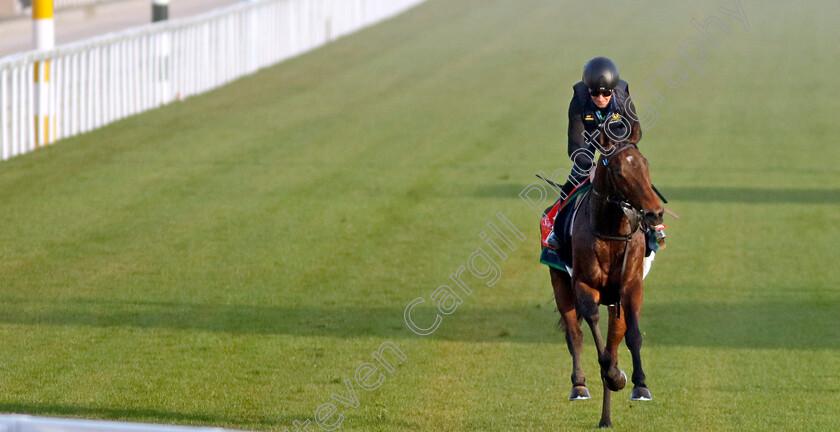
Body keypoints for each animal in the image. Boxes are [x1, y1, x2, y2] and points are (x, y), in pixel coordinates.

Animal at [552, 121, 664, 428]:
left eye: (645, 164)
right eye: (619, 171)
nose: (655, 213)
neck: (611, 231)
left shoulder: (630, 285)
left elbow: (632, 334)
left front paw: (639, 385)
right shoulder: (583, 283)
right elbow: (591, 325)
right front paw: (612, 375)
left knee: (617, 333)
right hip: (559, 282)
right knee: (574, 334)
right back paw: (580, 386)